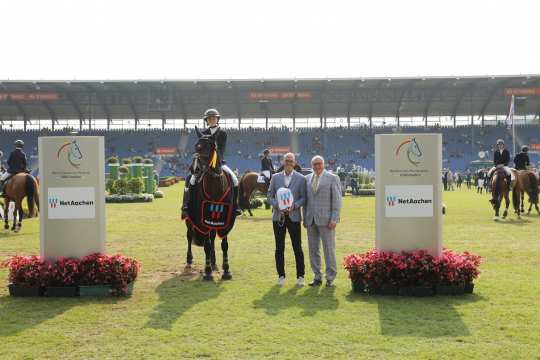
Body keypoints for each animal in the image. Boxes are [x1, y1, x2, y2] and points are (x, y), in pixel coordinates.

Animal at [185, 127, 235, 282]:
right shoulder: (202, 219)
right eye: (196, 146)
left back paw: (213, 262)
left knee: (212, 237)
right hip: (189, 218)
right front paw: (207, 272)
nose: (194, 169)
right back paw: (189, 261)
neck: (215, 187)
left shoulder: (225, 219)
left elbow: (224, 244)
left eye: (209, 147)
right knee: (189, 236)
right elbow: (206, 245)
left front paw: (226, 270)